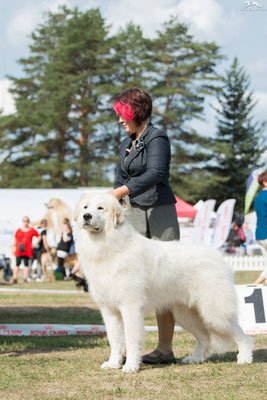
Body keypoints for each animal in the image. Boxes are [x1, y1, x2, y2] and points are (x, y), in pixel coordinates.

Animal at [74, 192, 254, 374]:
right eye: (85, 207)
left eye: (100, 208)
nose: (86, 216)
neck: (109, 244)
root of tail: (220, 258)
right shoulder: (109, 310)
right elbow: (114, 340)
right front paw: (113, 363)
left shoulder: (130, 307)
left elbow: (131, 339)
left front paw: (130, 366)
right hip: (186, 315)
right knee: (204, 337)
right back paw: (195, 358)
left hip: (215, 312)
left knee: (241, 334)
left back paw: (245, 358)